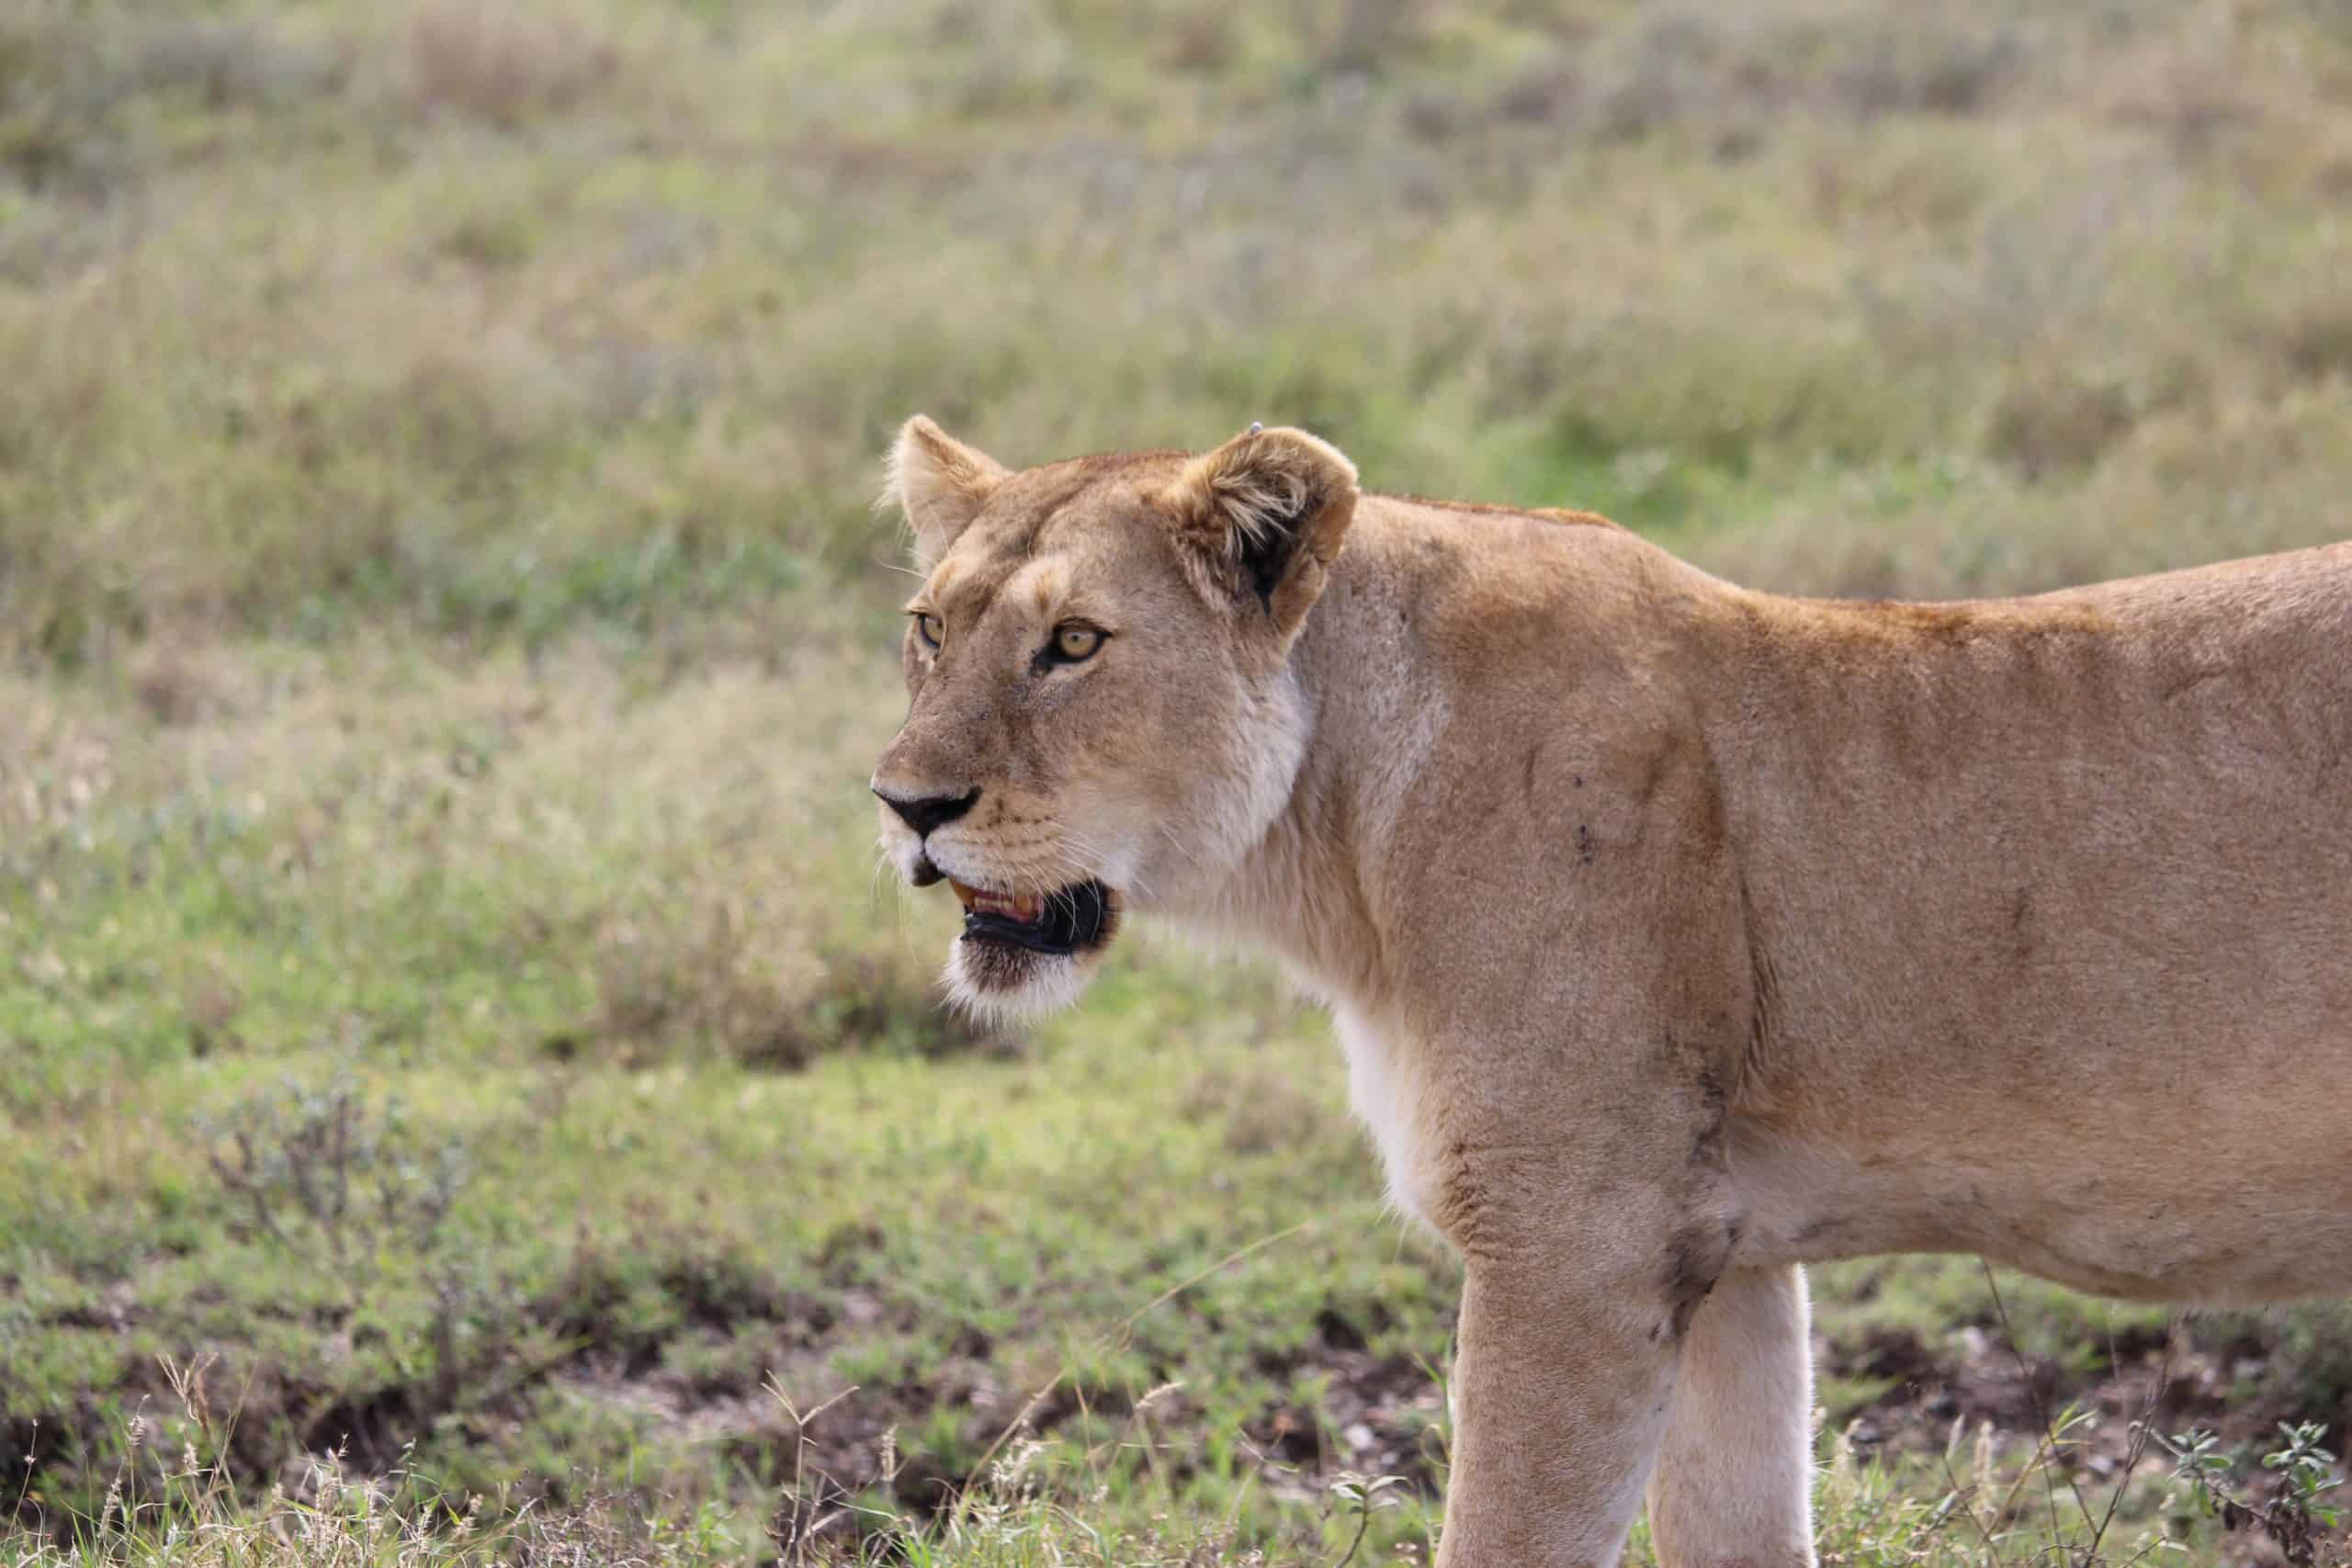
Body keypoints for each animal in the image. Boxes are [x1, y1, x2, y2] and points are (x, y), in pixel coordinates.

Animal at [870, 416, 2352, 1568]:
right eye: (929, 629)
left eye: (1074, 643)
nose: (904, 805)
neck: (1341, 840)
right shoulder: (1726, 1250)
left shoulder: (1579, 1242)